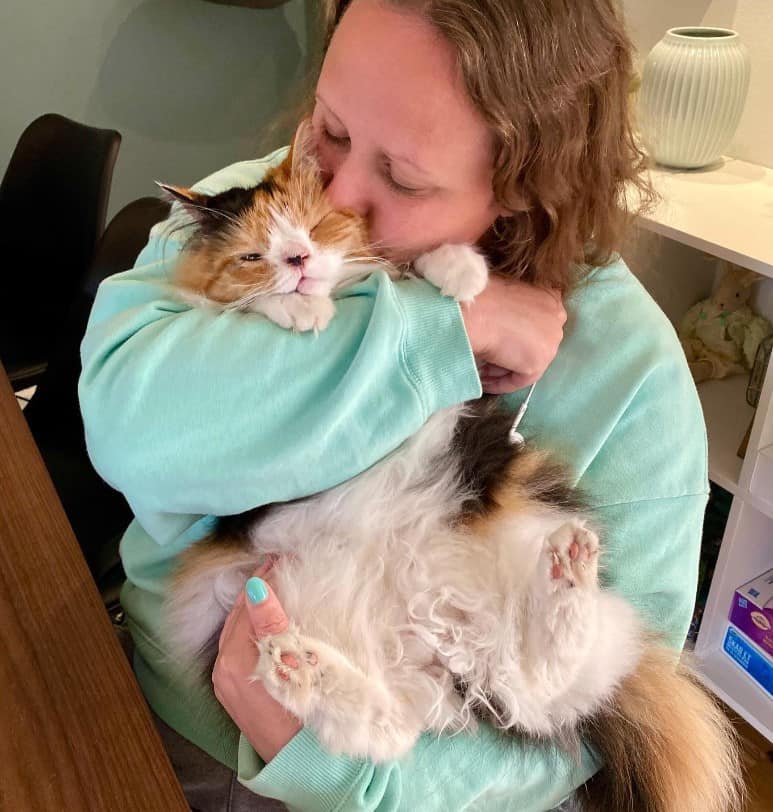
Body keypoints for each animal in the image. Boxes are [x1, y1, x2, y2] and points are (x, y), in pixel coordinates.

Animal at [160, 122, 744, 812]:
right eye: (253, 256)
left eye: (316, 225)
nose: (298, 262)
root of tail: (434, 629)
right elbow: (240, 306)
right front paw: (300, 312)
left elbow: (411, 265)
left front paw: (461, 274)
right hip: (258, 606)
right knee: (390, 727)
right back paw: (297, 668)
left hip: (524, 557)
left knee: (535, 684)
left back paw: (567, 568)